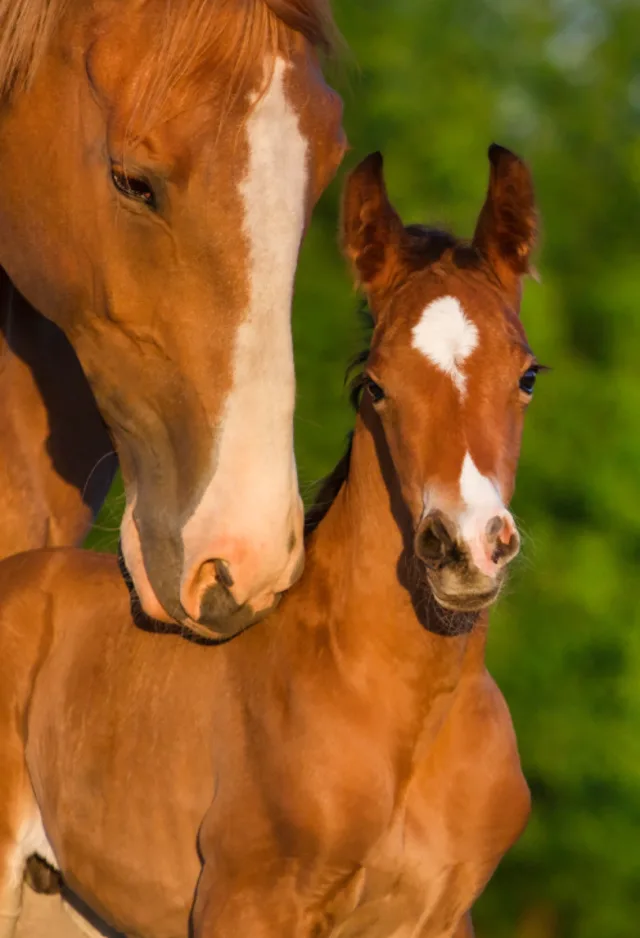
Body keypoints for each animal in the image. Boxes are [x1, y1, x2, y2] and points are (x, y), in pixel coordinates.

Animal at [0, 146, 540, 936]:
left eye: (527, 375)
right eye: (374, 386)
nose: (463, 548)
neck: (406, 717)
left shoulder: (441, 918)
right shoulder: (245, 905)